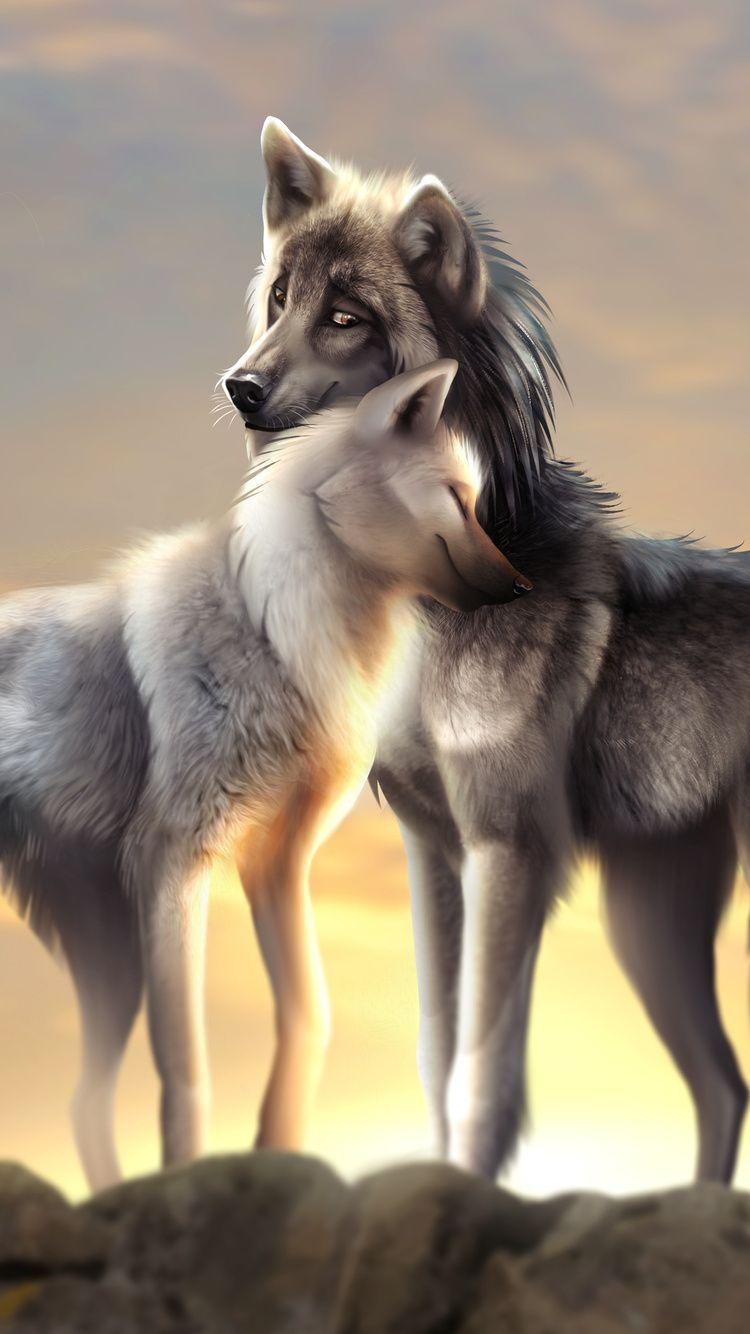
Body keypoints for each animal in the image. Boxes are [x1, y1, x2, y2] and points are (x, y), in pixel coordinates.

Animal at [0, 359, 528, 1192]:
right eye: (456, 497)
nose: (521, 587)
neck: (275, 627)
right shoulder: (174, 861)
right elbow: (185, 1067)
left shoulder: (278, 864)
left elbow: (310, 1016)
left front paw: (275, 1156)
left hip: (108, 960)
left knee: (83, 1099)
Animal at [223, 117, 750, 1184]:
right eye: (281, 299)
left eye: (346, 317)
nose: (239, 386)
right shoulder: (435, 848)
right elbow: (435, 1054)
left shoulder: (508, 848)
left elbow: (481, 1070)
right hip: (650, 918)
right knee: (724, 1085)